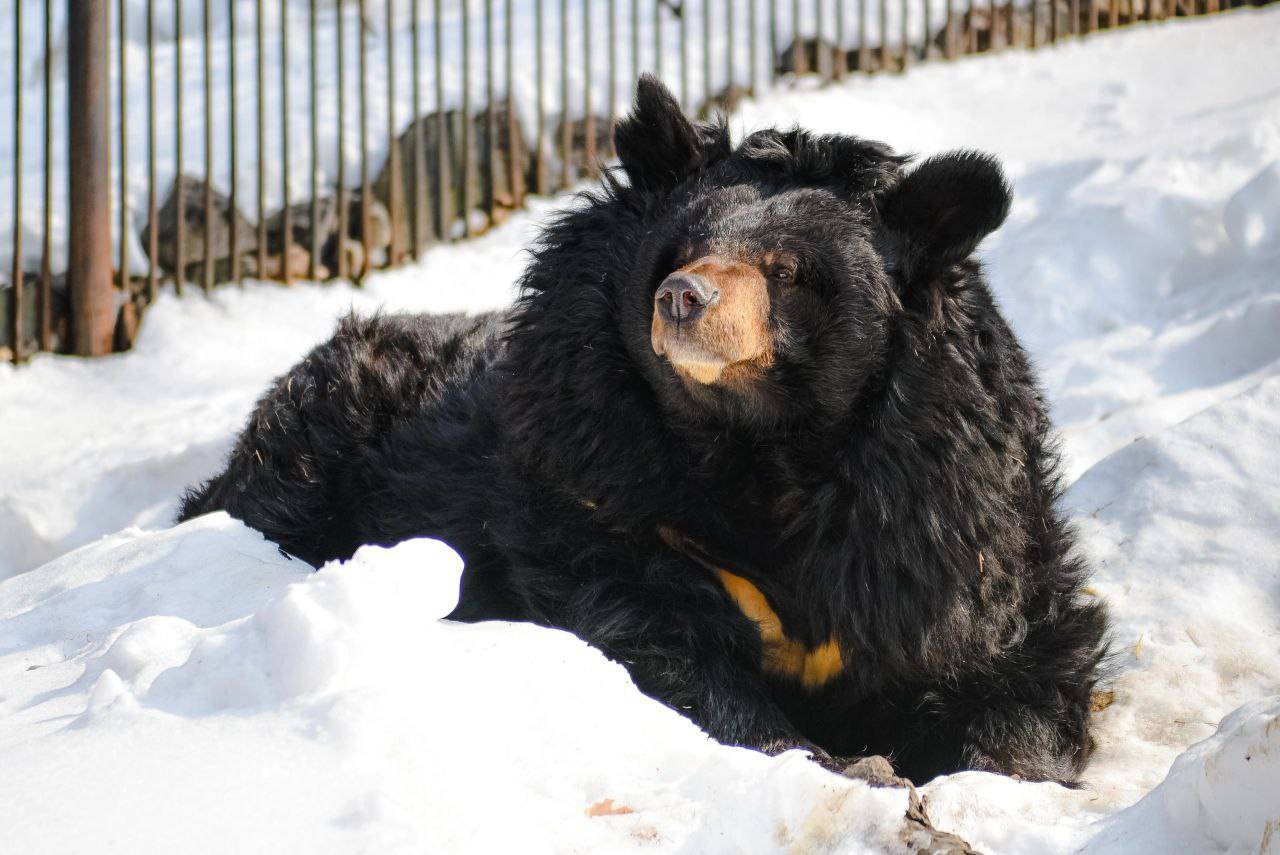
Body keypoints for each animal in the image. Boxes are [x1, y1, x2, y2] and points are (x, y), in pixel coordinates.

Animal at [183, 76, 1111, 783]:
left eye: (787, 272)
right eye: (684, 248)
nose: (682, 299)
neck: (758, 447)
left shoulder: (937, 506)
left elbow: (1015, 650)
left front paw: (991, 763)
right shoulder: (596, 475)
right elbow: (655, 634)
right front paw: (830, 759)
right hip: (313, 455)